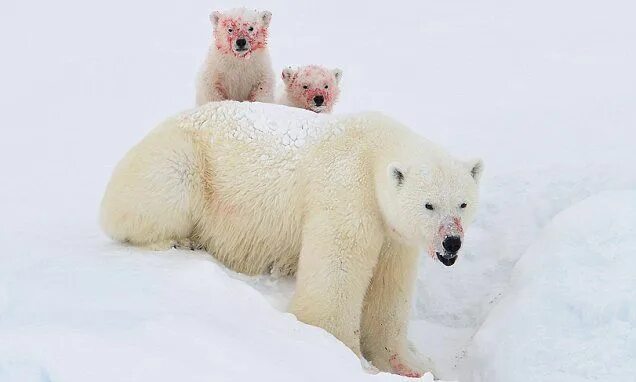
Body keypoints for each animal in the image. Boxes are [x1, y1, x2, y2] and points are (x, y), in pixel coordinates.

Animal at [99, 100, 482, 378]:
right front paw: (343, 355)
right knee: (162, 192)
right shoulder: (347, 191)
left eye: (463, 203)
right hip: (182, 164)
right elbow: (336, 273)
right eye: (429, 204)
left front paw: (407, 364)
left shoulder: (394, 234)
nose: (451, 243)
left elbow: (389, 290)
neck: (374, 150)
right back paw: (176, 241)